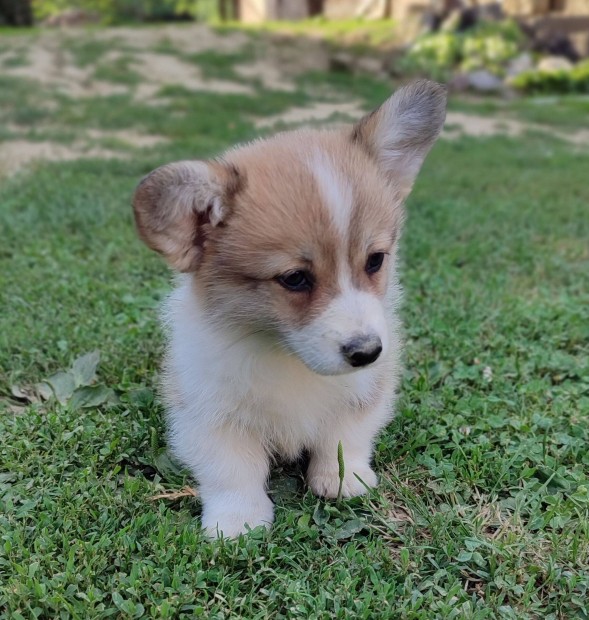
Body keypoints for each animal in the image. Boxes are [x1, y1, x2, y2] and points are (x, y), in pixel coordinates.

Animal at [133, 80, 446, 536]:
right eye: (295, 278)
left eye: (375, 260)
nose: (367, 352)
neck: (286, 356)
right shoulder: (207, 410)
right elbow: (231, 467)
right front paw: (239, 520)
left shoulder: (366, 389)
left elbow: (344, 436)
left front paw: (343, 479)